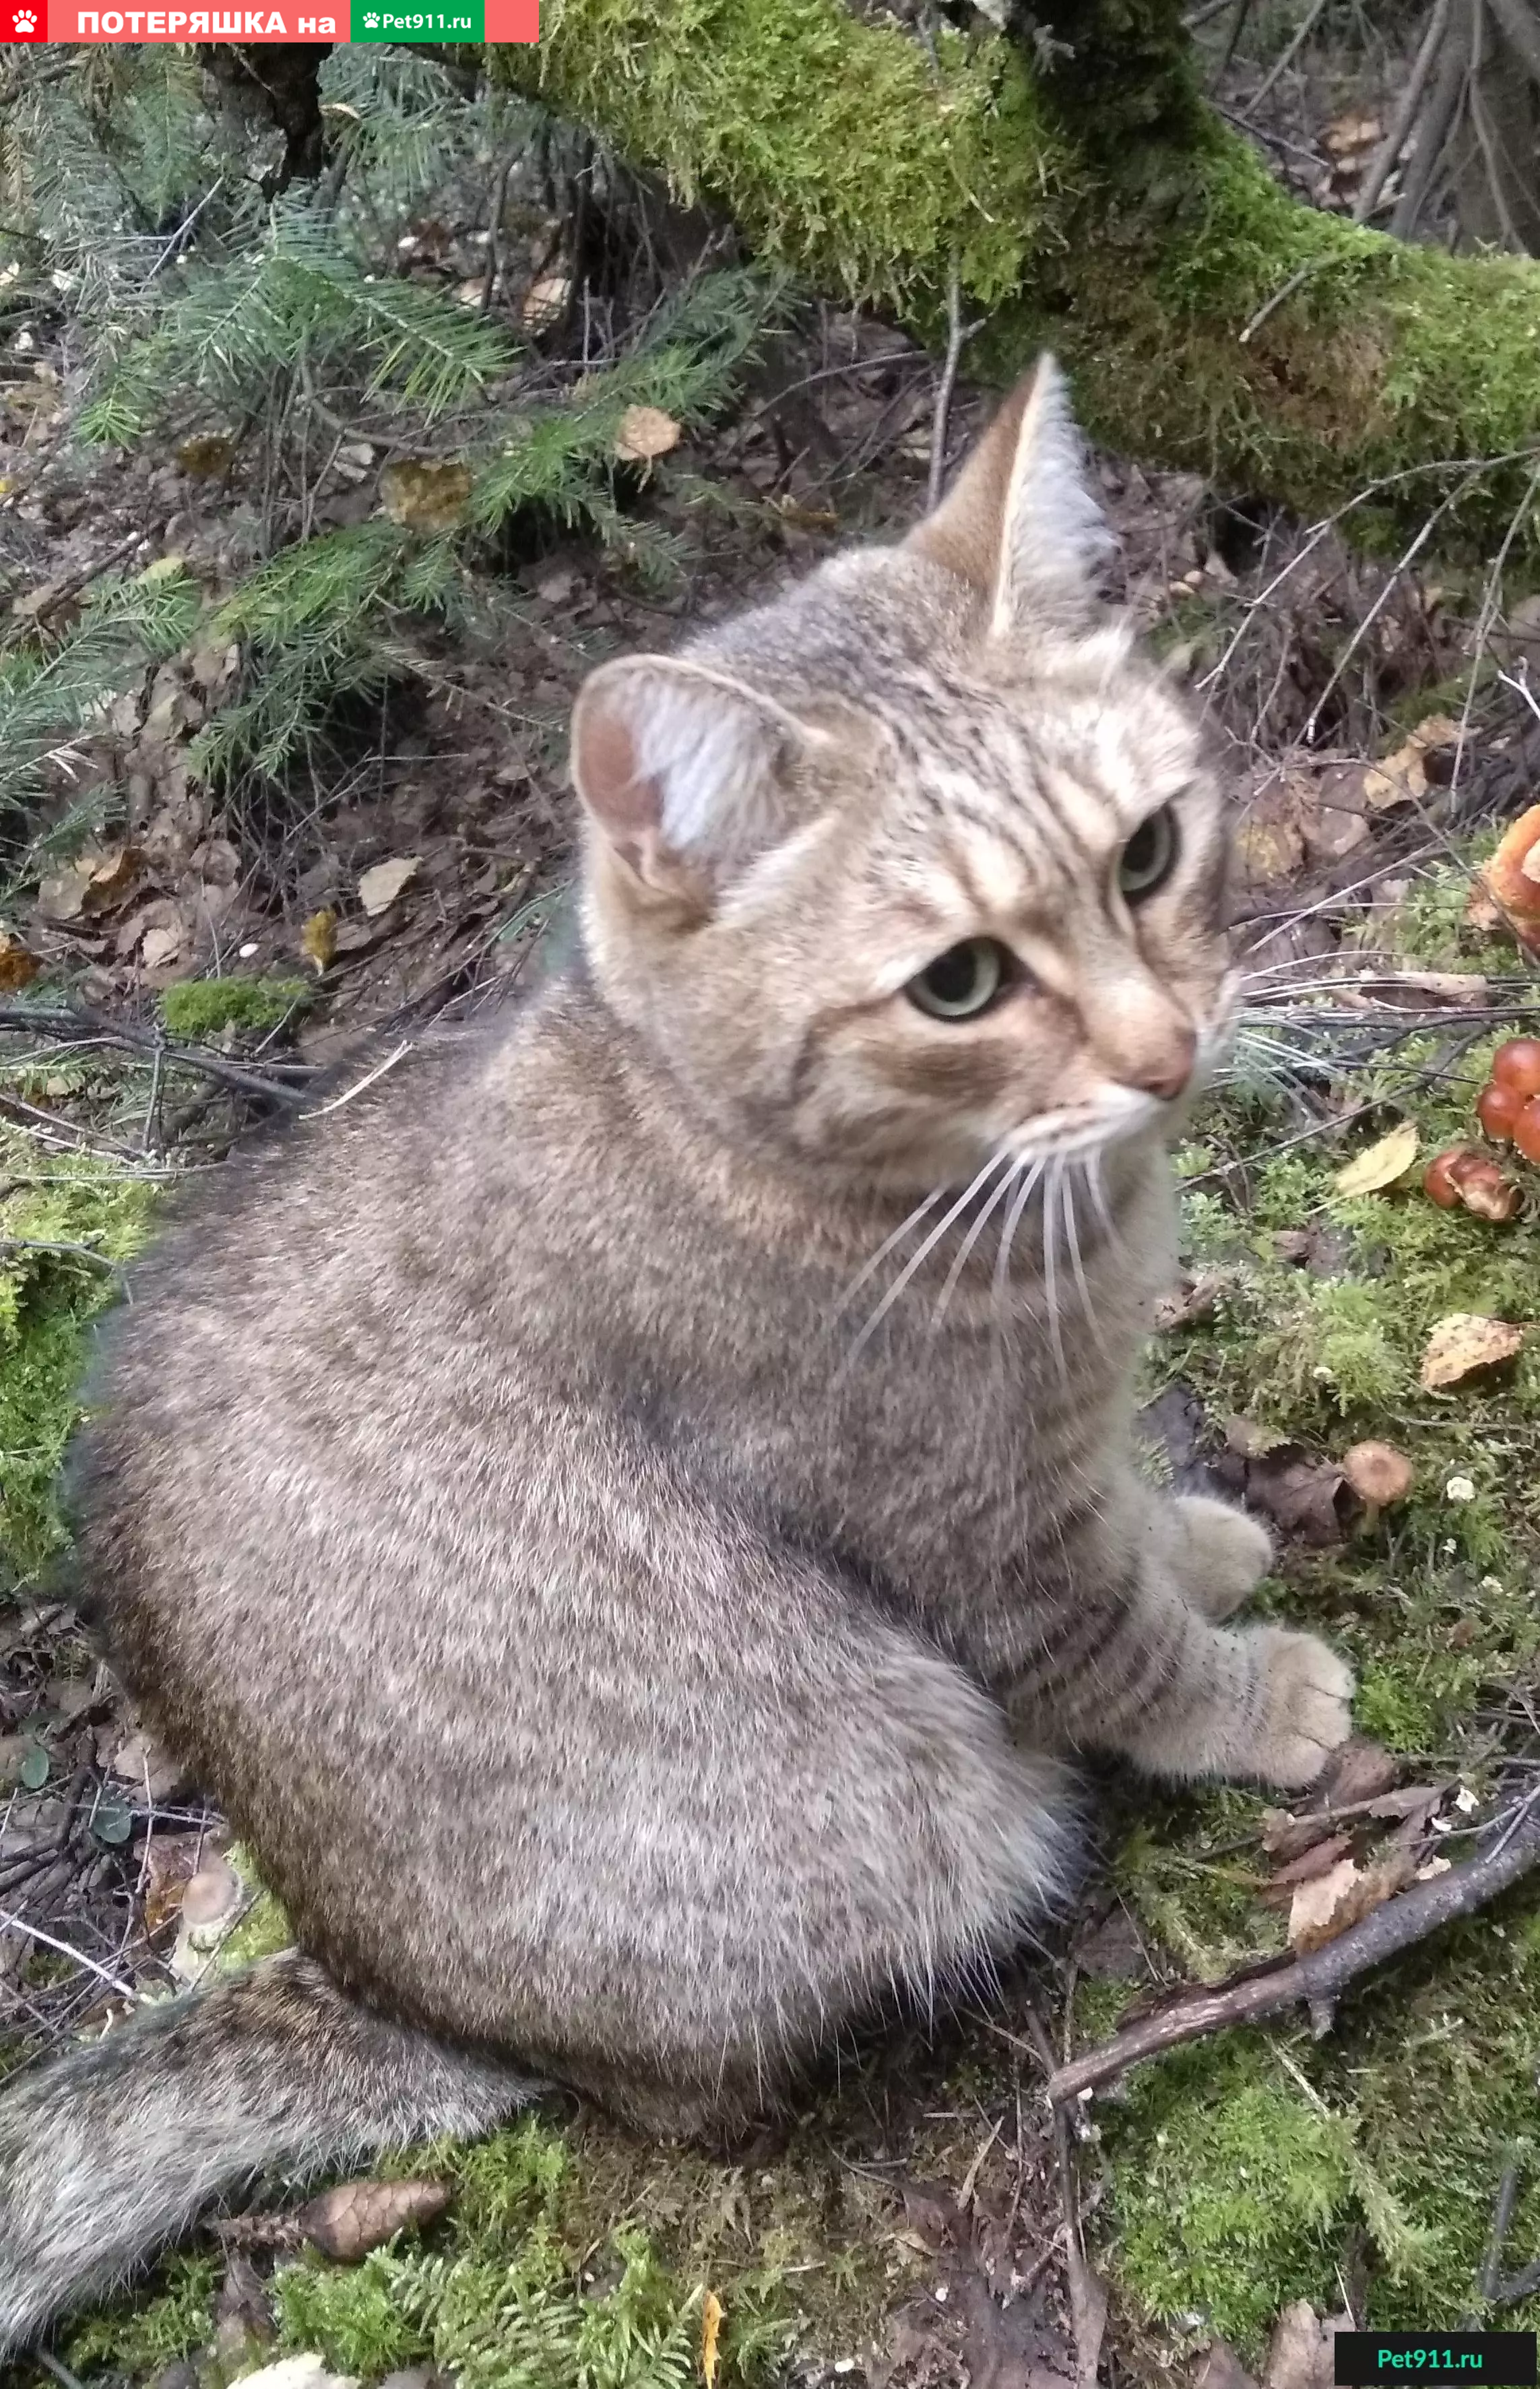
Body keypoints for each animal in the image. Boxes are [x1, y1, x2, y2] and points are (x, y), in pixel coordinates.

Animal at [0, 358, 1346, 2351]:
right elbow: (1124, 1651)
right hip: (871, 1812)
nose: (1166, 1051)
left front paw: (1197, 1534)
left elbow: (1132, 1512)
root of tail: (377, 1988)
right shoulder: (977, 1539)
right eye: (957, 983)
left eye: (1147, 853)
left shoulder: (1060, 1444)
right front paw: (1255, 1698)